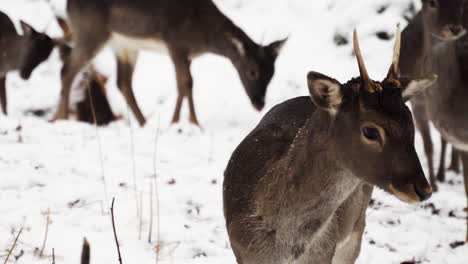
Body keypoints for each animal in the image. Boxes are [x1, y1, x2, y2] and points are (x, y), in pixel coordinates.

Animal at [50, 0, 286, 126]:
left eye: (272, 73)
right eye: (253, 71)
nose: (259, 103)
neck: (202, 33)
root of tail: (68, 6)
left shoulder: (186, 54)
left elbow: (189, 84)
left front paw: (190, 121)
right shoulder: (175, 44)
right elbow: (184, 83)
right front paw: (181, 122)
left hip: (124, 46)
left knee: (123, 82)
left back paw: (144, 123)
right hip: (91, 32)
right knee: (67, 69)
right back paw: (61, 117)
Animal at [225, 26, 434, 264]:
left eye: (410, 123)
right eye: (371, 131)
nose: (424, 190)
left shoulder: (327, 251)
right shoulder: (242, 252)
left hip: (356, 229)